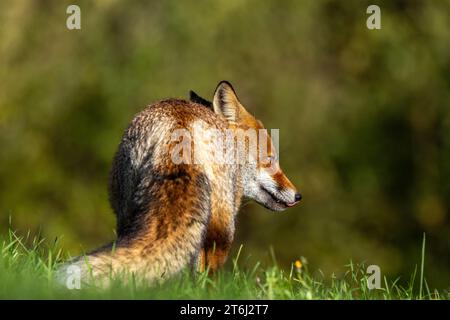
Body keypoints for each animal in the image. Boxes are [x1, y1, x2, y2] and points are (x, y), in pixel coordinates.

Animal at [59, 80, 298, 284]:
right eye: (270, 160)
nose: (298, 195)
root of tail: (181, 125)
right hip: (223, 228)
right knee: (206, 274)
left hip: (130, 214)